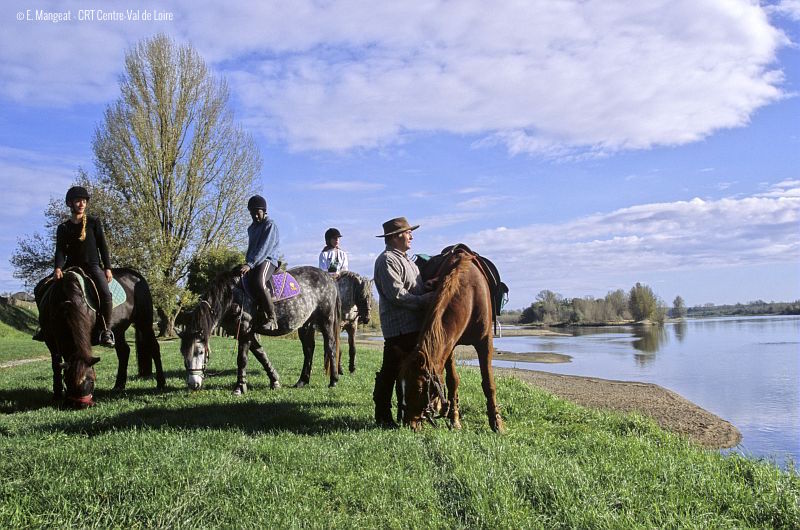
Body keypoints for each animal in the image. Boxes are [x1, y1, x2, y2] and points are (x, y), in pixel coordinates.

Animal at [34, 266, 166, 406]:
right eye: (67, 381)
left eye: (92, 380)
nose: (82, 405)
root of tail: (136, 276)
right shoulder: (50, 339)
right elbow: (56, 364)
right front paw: (57, 395)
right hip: (118, 330)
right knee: (124, 352)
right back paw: (119, 385)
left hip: (144, 322)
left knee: (154, 347)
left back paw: (161, 382)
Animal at [400, 245, 506, 432]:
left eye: (419, 388)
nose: (409, 423)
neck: (470, 293)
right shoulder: (449, 344)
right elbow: (452, 381)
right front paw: (454, 418)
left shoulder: (485, 342)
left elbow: (488, 382)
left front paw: (496, 422)